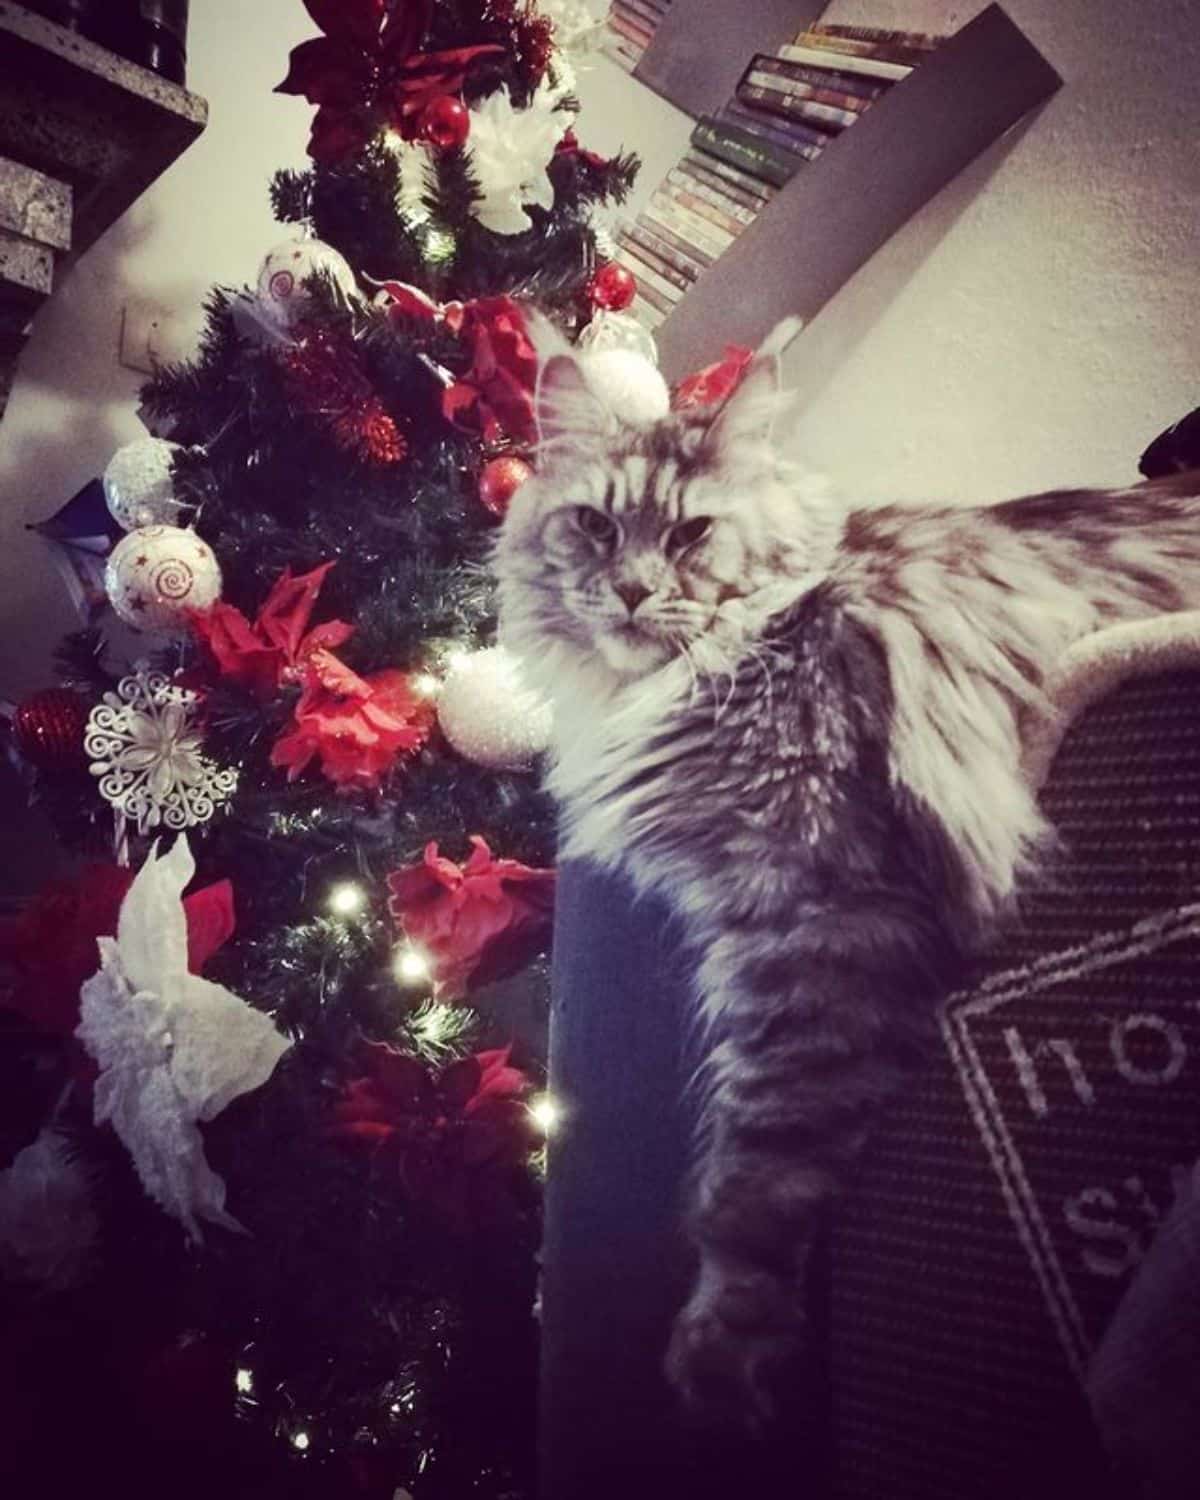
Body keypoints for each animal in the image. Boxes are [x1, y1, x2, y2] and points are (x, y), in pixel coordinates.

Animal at [489, 325, 1200, 1428]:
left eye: (691, 537)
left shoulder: (818, 909)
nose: (634, 590)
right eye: (596, 527)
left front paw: (726, 1356)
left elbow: (760, 1164)